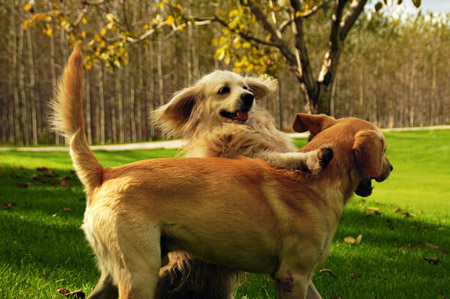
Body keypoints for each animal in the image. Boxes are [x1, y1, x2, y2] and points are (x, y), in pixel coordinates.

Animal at [51, 47, 390, 299]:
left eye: (246, 87)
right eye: (384, 147)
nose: (390, 167)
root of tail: (105, 173)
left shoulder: (304, 278)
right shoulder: (291, 276)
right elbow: (282, 157)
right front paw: (311, 158)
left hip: (120, 272)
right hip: (140, 275)